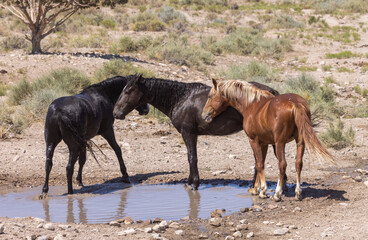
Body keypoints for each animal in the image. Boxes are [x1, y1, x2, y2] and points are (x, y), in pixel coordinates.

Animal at [113, 75, 280, 189]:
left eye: (128, 91)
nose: (115, 113)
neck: (181, 98)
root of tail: (272, 93)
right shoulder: (189, 135)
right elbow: (189, 157)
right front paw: (189, 182)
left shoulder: (188, 133)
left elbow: (192, 158)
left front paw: (194, 184)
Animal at [201, 79, 336, 201]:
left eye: (210, 96)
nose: (204, 115)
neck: (251, 105)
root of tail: (295, 103)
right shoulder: (264, 143)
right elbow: (260, 163)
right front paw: (256, 189)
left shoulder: (253, 140)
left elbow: (259, 164)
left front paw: (263, 191)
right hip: (300, 142)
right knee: (298, 163)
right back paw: (298, 193)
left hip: (280, 143)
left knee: (282, 165)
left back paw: (277, 194)